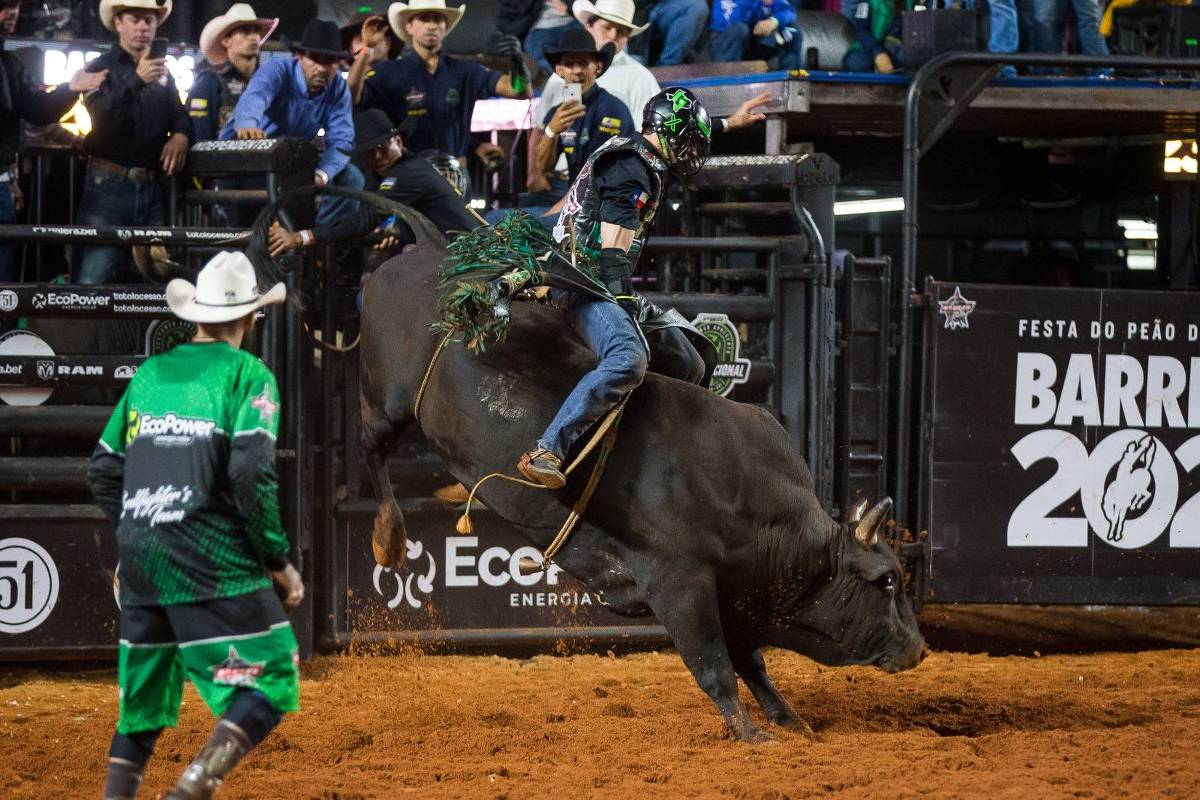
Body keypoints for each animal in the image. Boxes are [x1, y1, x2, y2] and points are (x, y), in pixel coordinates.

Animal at [355, 220, 926, 743]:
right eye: (888, 580)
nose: (920, 649)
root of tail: (428, 250)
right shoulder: (679, 583)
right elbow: (715, 666)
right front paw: (750, 733)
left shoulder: (735, 593)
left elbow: (751, 661)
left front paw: (790, 721)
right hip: (389, 401)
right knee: (371, 447)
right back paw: (388, 535)